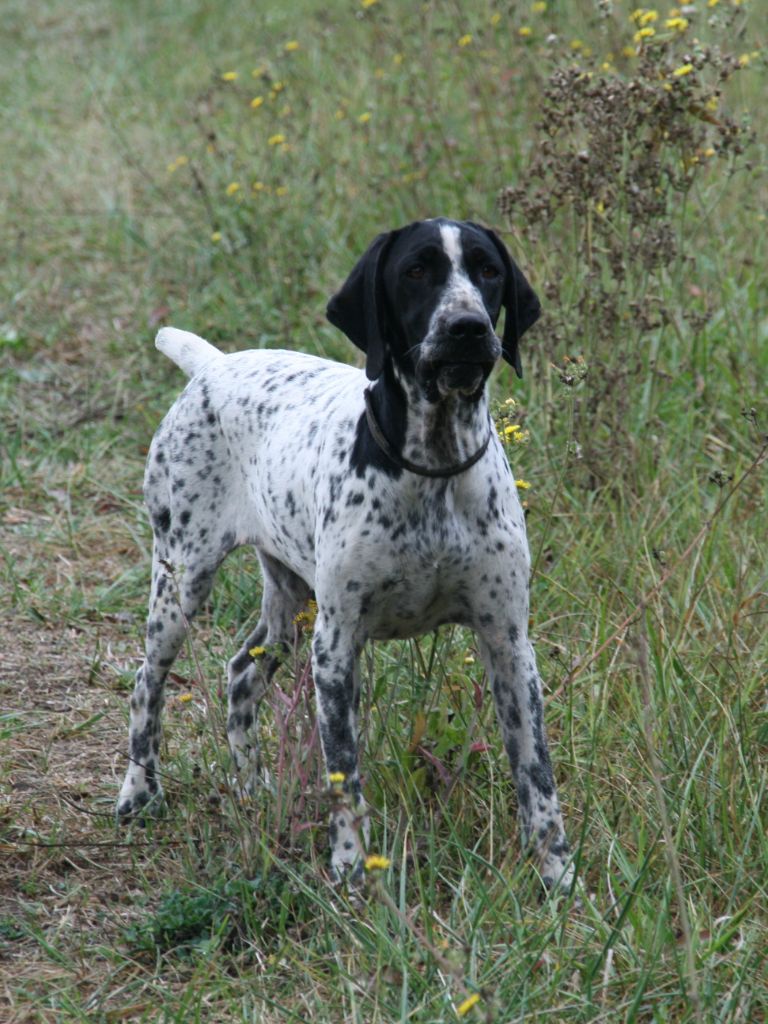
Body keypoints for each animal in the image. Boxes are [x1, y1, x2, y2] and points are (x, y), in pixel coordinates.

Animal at [117, 220, 573, 892]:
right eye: (416, 271)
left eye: (488, 271)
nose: (467, 327)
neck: (432, 467)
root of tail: (215, 365)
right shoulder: (336, 648)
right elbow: (346, 776)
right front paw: (352, 869)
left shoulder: (509, 643)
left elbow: (537, 776)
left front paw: (559, 876)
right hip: (181, 583)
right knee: (147, 684)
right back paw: (138, 791)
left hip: (287, 604)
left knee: (242, 673)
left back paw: (252, 787)